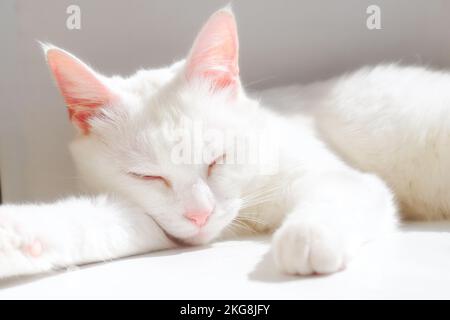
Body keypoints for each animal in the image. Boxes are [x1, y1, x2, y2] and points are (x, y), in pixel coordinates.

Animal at [1, 6, 448, 278]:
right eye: (148, 177)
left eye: (217, 159)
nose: (200, 215)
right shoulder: (146, 220)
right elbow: (89, 222)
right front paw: (18, 237)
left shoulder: (343, 178)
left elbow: (336, 193)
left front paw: (307, 238)